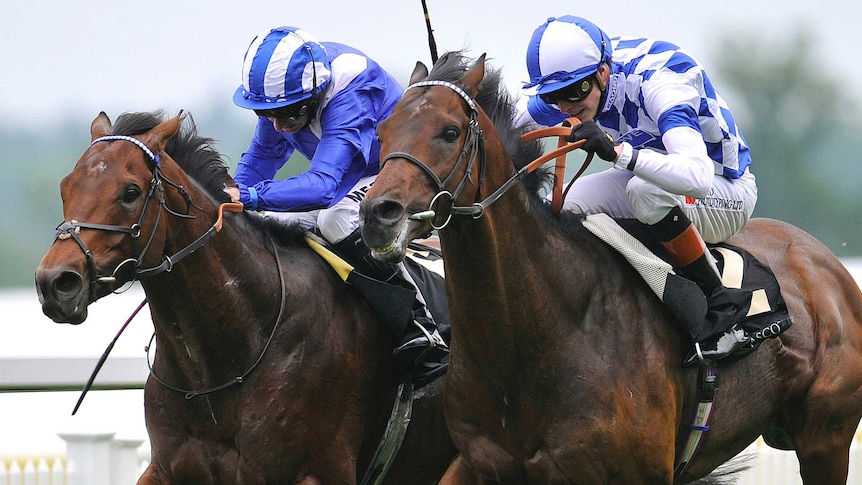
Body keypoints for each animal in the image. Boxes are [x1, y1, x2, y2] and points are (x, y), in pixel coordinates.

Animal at [360, 51, 862, 482]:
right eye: (382, 132)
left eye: (449, 132)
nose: (378, 215)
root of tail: (830, 268)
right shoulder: (479, 463)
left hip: (825, 439)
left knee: (651, 192)